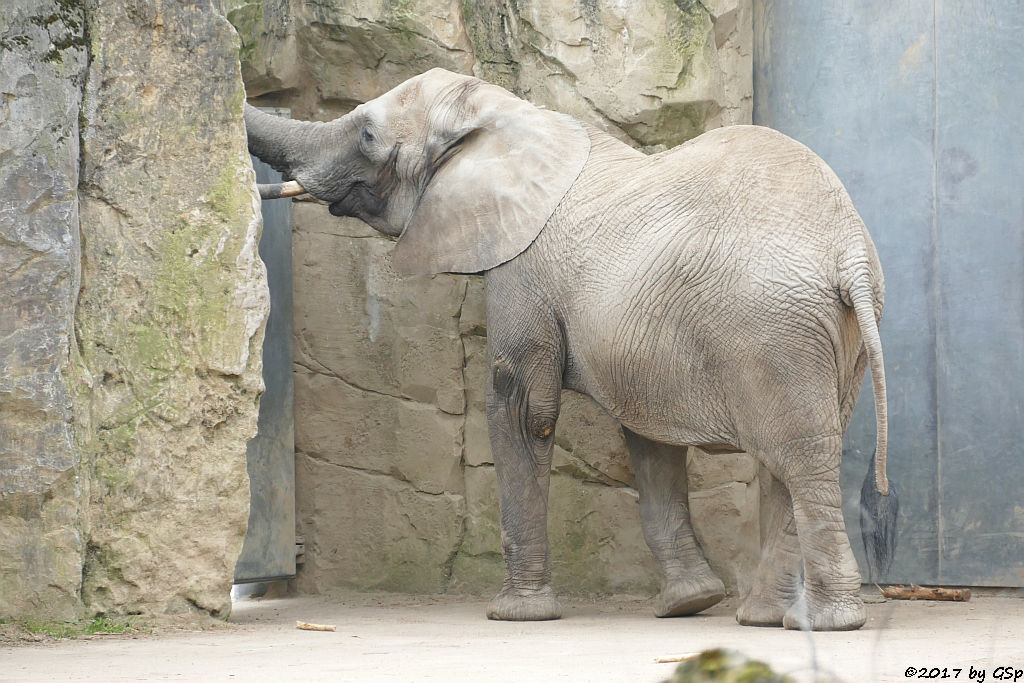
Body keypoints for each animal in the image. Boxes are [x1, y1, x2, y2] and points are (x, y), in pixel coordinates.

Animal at [247, 68, 897, 630]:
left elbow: (520, 409)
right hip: (829, 336)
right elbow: (647, 436)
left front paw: (515, 615)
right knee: (791, 459)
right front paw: (688, 604)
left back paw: (830, 623)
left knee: (799, 457)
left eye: (366, 134)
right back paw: (765, 618)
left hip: (772, 328)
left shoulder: (520, 266)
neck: (510, 114)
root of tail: (847, 252)